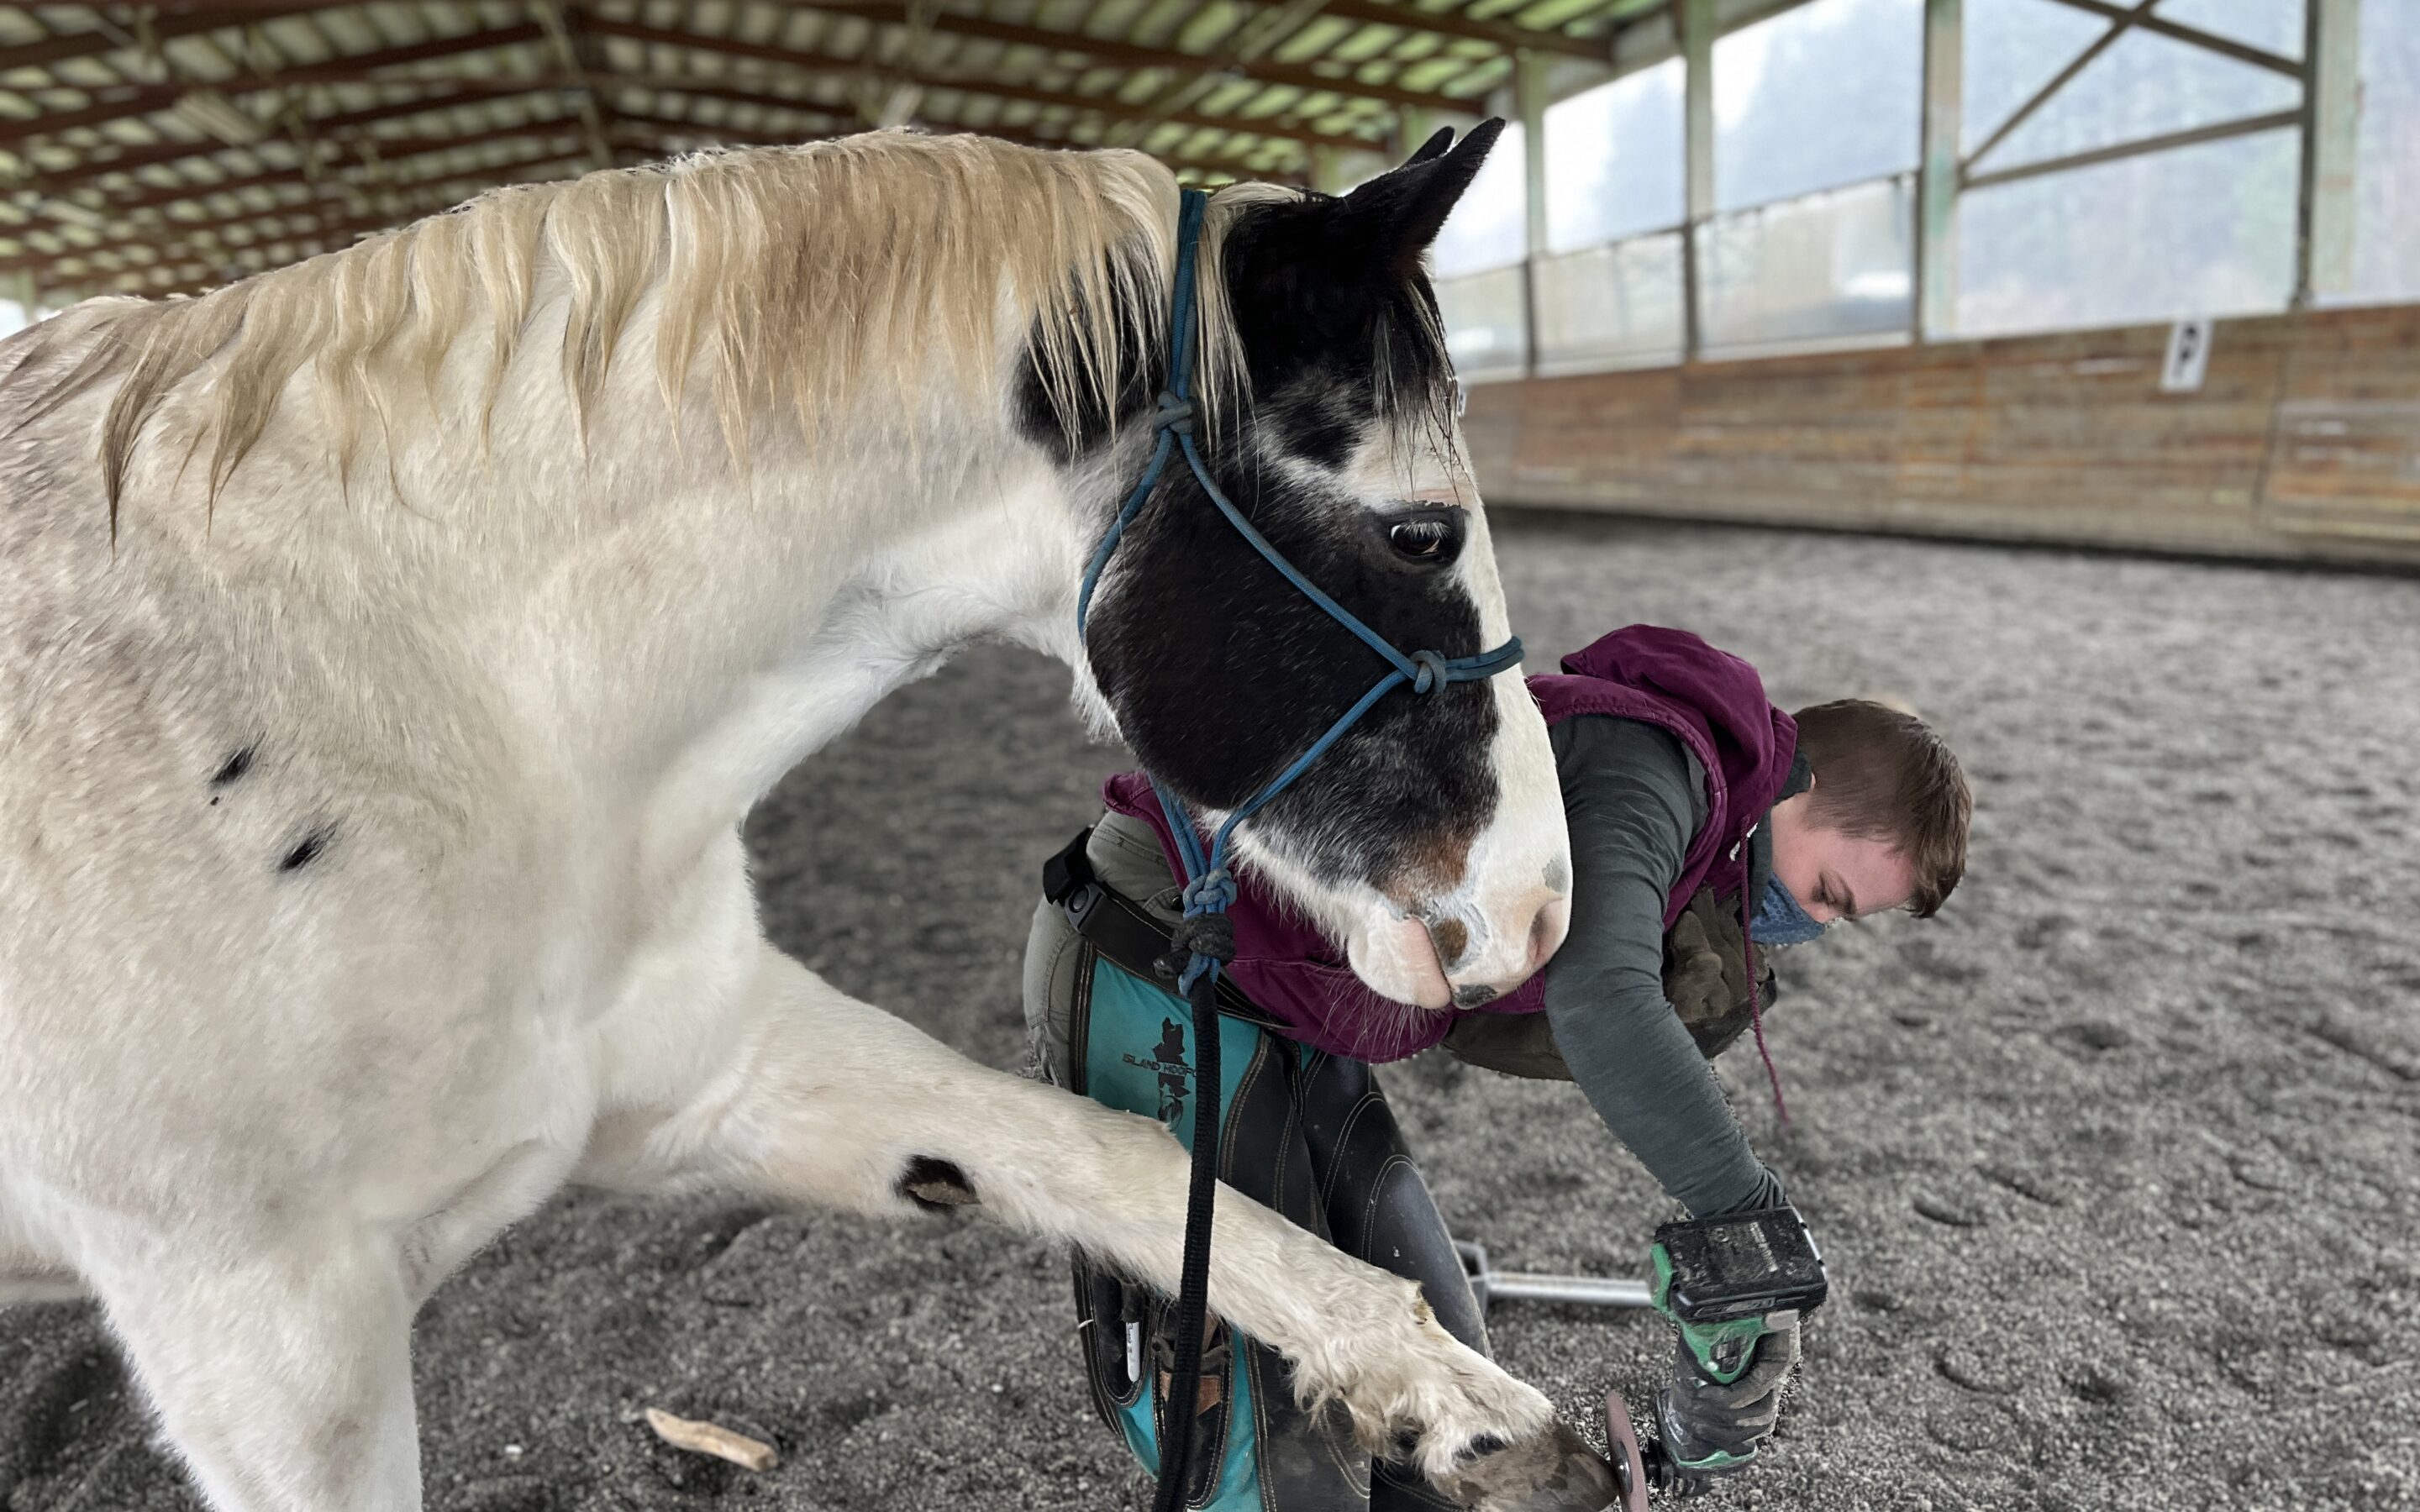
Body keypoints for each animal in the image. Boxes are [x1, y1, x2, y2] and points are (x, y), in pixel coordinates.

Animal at [0, 129, 1587, 1509]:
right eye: (1422, 534)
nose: (1539, 911)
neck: (448, 713)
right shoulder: (267, 1337)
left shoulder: (708, 1072)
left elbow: (1103, 1153)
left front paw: (1447, 1393)